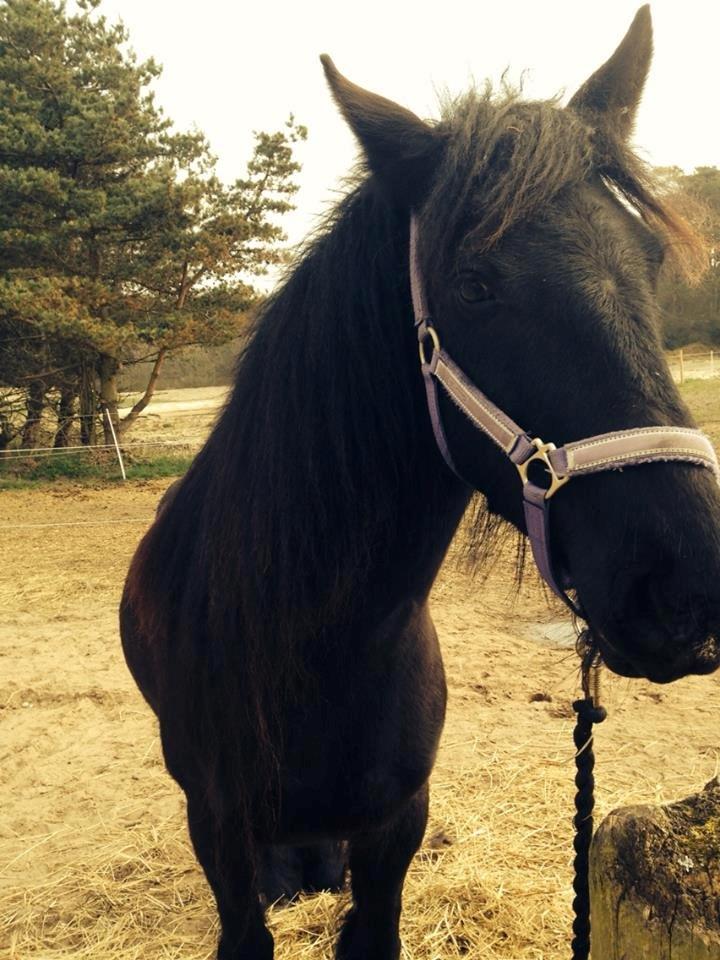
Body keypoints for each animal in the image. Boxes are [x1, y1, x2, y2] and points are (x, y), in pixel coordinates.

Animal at [120, 7, 720, 958]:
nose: (690, 586)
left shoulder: (397, 823)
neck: (322, 648)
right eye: (473, 285)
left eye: (652, 260)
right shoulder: (215, 830)